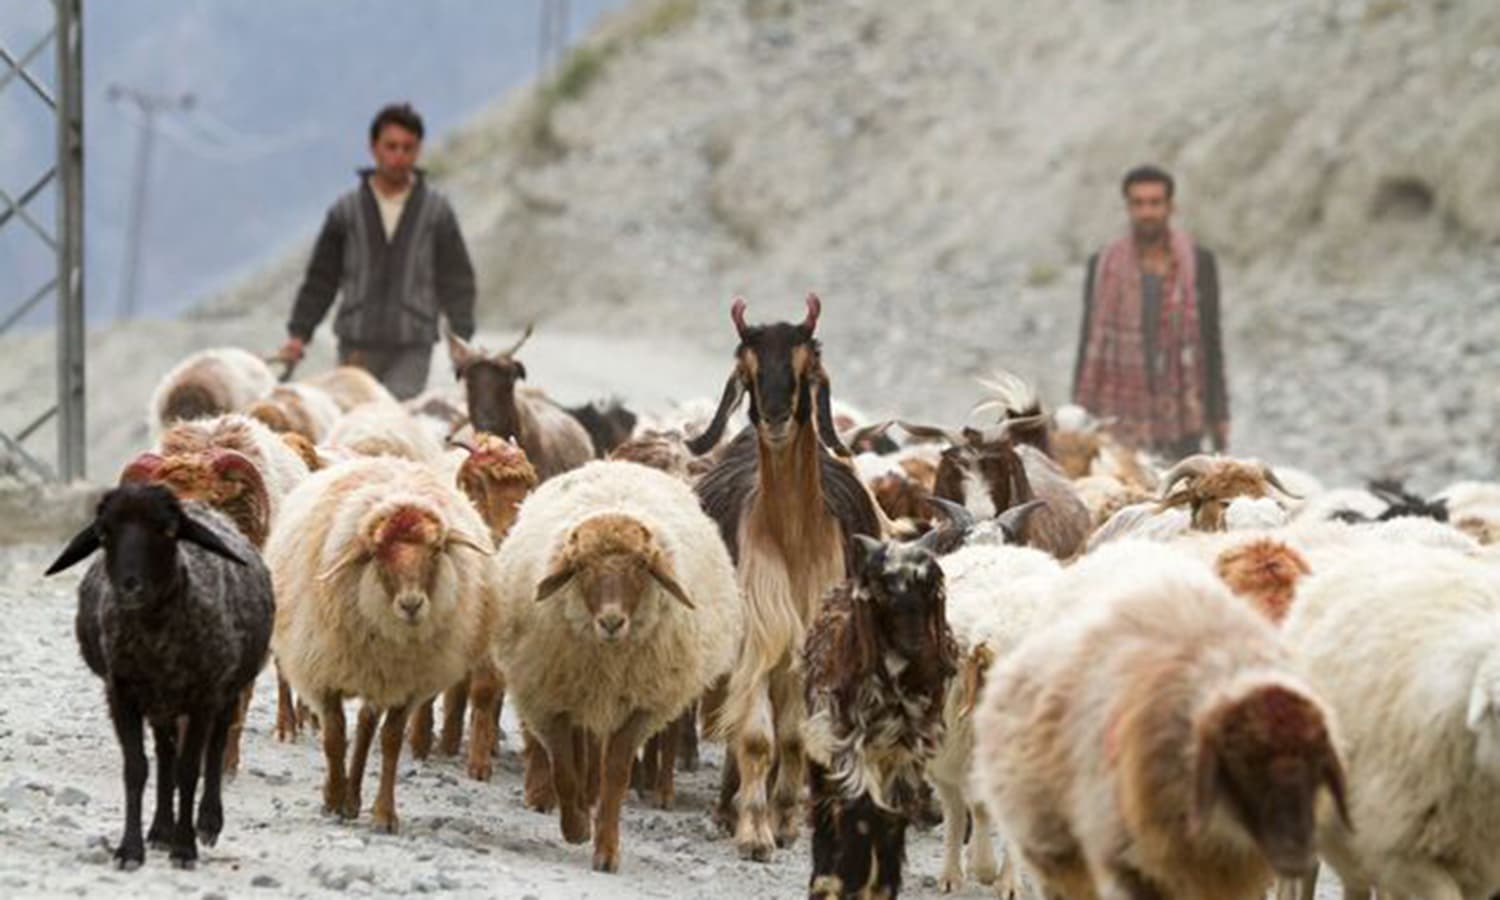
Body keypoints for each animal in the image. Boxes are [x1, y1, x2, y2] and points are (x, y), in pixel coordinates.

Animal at [46, 486, 276, 870]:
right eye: (104, 534)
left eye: (168, 531)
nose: (129, 587)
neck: (156, 637)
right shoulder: (122, 694)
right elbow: (137, 769)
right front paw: (130, 849)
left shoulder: (203, 696)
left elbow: (190, 768)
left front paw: (184, 848)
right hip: (161, 704)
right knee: (165, 755)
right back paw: (160, 829)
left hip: (227, 691)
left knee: (214, 749)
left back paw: (208, 822)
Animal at [267, 462, 501, 834]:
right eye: (378, 554)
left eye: (436, 550)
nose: (411, 604)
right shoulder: (323, 673)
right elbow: (334, 736)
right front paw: (333, 798)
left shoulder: (407, 684)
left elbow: (390, 741)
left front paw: (383, 813)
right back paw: (343, 797)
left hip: (378, 675)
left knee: (366, 724)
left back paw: (354, 799)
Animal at [495, 456, 741, 870]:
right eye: (581, 565)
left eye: (642, 564)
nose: (612, 621)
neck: (608, 655)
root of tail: (617, 462)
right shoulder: (548, 699)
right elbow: (563, 767)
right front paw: (576, 827)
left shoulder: (639, 706)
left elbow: (615, 774)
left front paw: (606, 849)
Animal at [804, 531, 954, 894]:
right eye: (883, 587)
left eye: (929, 586)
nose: (917, 647)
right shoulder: (847, 746)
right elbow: (859, 814)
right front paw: (847, 882)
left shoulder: (906, 754)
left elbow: (889, 819)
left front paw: (882, 885)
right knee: (829, 807)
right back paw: (825, 878)